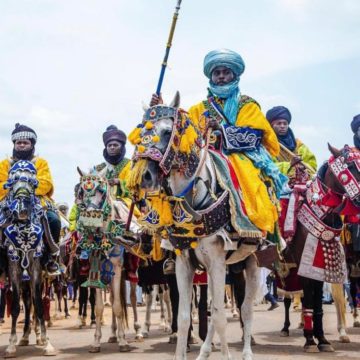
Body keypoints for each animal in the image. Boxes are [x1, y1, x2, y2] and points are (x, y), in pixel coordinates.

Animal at [129, 93, 262, 360]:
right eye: (141, 134)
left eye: (167, 131)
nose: (144, 176)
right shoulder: (184, 264)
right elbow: (184, 318)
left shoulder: (218, 261)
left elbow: (220, 317)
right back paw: (204, 351)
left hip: (251, 264)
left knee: (245, 308)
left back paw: (246, 351)